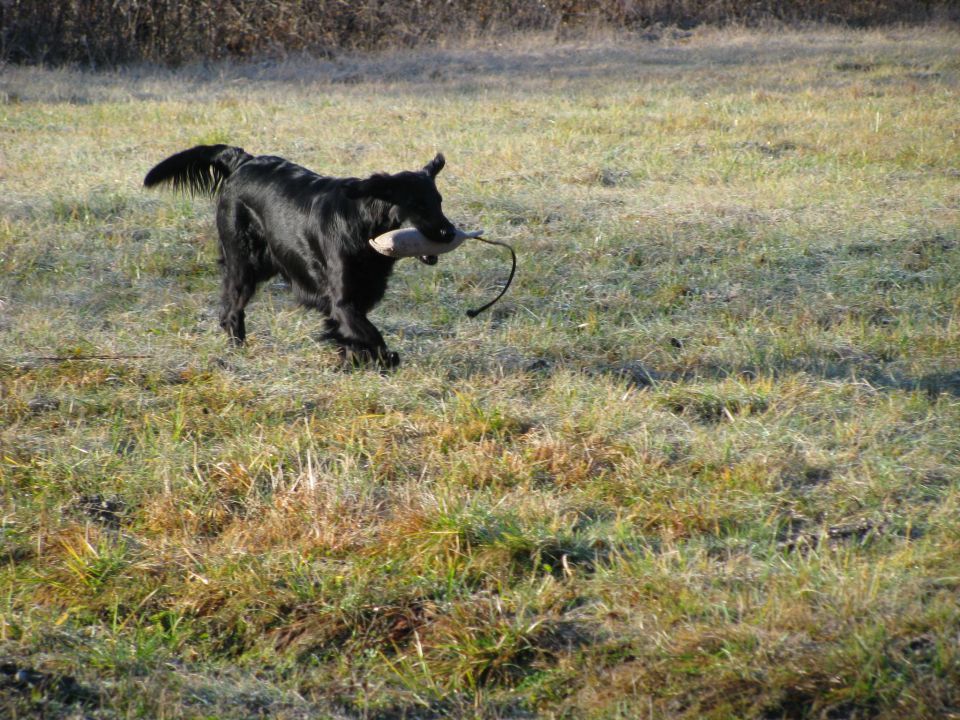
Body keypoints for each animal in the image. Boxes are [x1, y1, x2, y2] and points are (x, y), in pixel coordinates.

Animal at [143, 143, 458, 366]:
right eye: (417, 205)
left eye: (439, 201)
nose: (450, 232)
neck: (364, 227)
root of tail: (244, 161)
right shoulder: (343, 302)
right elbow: (369, 334)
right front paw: (385, 357)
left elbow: (353, 337)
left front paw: (356, 362)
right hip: (244, 262)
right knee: (231, 309)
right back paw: (237, 348)